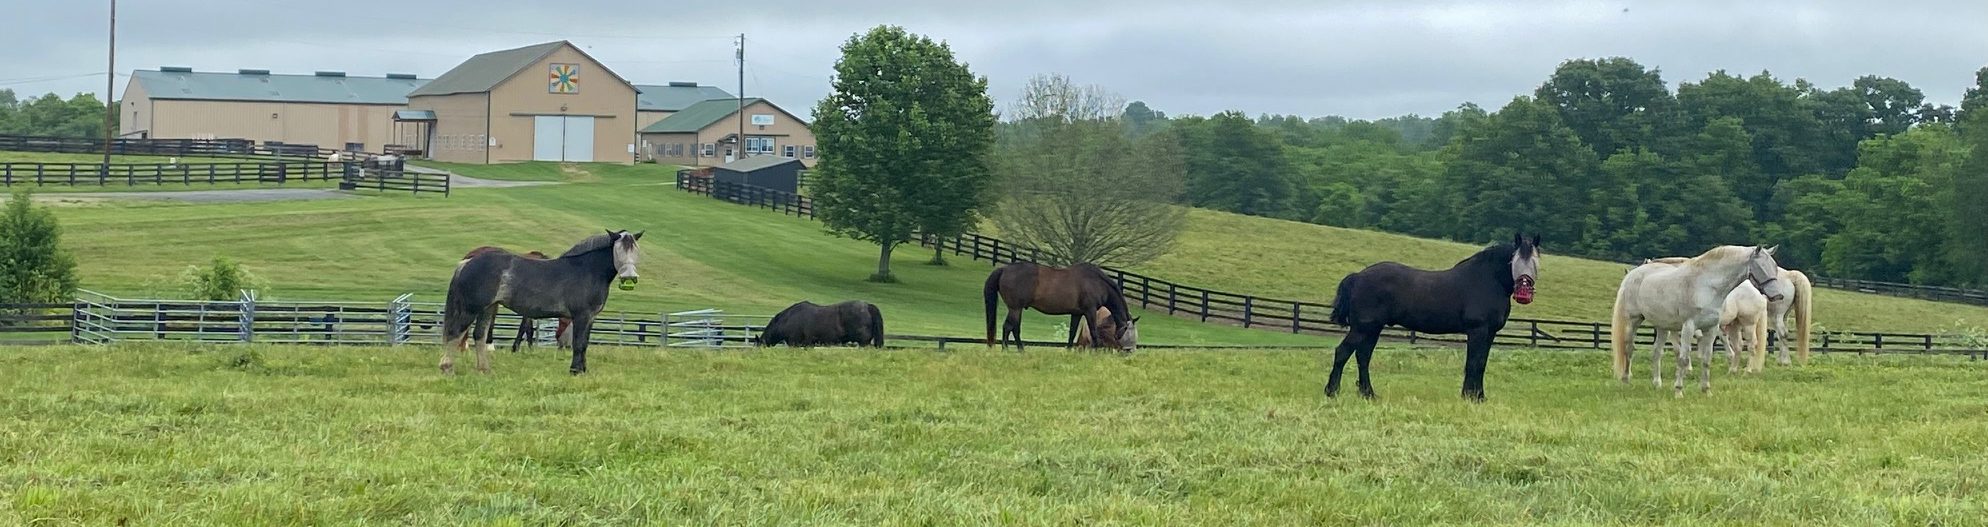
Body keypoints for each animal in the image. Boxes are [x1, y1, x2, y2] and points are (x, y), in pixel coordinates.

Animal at [445, 229, 644, 373]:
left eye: (635, 250)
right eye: (618, 250)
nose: (629, 277)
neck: (587, 270)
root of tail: (467, 262)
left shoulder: (590, 318)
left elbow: (585, 344)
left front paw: (582, 369)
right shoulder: (581, 316)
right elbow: (579, 344)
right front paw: (575, 371)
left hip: (488, 308)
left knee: (479, 335)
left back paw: (484, 369)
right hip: (471, 308)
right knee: (455, 332)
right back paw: (447, 368)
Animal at [982, 260, 1129, 350]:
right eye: (1126, 331)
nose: (1125, 349)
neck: (1096, 282)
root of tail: (1004, 269)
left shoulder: (1076, 313)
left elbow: (1072, 333)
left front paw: (1069, 351)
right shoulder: (1090, 311)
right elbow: (1094, 332)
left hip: (1016, 309)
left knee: (1014, 328)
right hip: (1015, 308)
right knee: (1009, 327)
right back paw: (1007, 350)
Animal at [1327, 231, 1542, 399]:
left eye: (1536, 262)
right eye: (1514, 260)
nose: (1524, 293)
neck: (1488, 280)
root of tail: (1358, 277)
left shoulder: (1490, 333)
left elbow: (1481, 363)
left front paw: (1480, 396)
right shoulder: (1477, 331)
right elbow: (1473, 363)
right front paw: (1469, 396)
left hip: (1373, 329)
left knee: (1363, 357)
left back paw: (1368, 394)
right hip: (1362, 328)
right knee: (1343, 352)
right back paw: (1332, 391)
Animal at [1614, 243, 1789, 395]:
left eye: (1774, 266)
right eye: (1761, 267)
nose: (1778, 295)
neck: (1706, 286)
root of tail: (1633, 276)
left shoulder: (1710, 328)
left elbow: (1706, 359)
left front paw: (1706, 390)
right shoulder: (1688, 327)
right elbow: (1683, 357)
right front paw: (1679, 390)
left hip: (1665, 327)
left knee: (1656, 352)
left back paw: (1657, 384)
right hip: (1635, 321)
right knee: (1629, 349)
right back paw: (1626, 380)